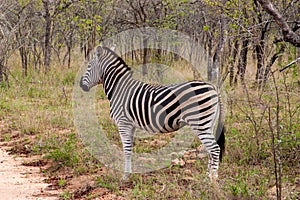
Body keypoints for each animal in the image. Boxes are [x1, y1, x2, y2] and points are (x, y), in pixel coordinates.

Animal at [79, 45, 225, 181]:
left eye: (89, 66)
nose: (81, 85)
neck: (120, 90)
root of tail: (213, 87)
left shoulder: (123, 123)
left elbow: (126, 150)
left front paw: (125, 176)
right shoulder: (131, 125)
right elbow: (130, 149)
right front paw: (129, 173)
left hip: (200, 123)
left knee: (214, 149)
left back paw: (213, 180)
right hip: (208, 123)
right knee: (210, 150)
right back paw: (207, 177)